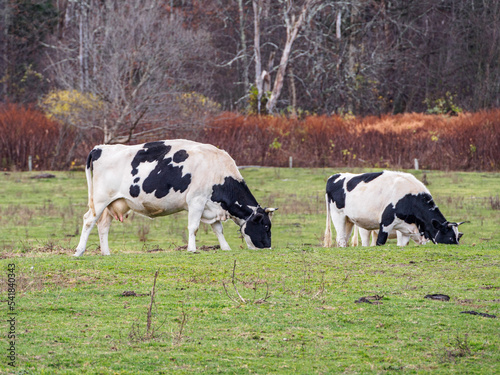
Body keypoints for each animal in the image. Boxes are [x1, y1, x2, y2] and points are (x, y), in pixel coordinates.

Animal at [74, 140, 278, 258]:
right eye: (266, 226)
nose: (268, 247)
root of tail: (101, 147)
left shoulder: (210, 205)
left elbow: (218, 229)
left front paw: (225, 247)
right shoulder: (196, 201)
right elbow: (194, 227)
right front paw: (192, 249)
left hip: (112, 203)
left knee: (103, 225)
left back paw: (106, 252)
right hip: (100, 200)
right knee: (88, 220)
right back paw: (79, 251)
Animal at [324, 172, 464, 248]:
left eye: (458, 237)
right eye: (450, 238)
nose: (457, 247)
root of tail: (334, 176)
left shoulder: (405, 230)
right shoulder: (386, 223)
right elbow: (380, 242)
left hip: (349, 220)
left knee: (344, 239)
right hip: (338, 216)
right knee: (341, 239)